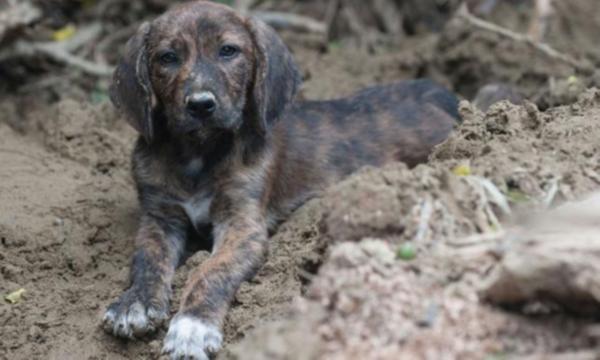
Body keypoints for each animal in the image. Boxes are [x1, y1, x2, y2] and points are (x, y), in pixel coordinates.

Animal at [103, 1, 460, 358]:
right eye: (167, 57)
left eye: (228, 51)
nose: (201, 105)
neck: (199, 153)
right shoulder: (159, 216)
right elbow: (147, 258)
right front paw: (134, 303)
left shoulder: (243, 225)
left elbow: (210, 270)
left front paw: (192, 326)